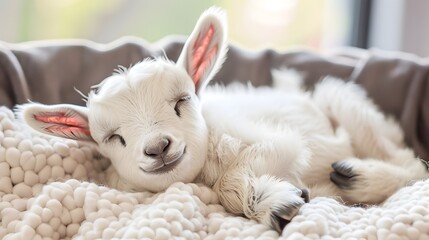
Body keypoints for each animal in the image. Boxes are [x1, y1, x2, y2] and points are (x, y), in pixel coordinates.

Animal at [20, 7, 428, 232]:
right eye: (112, 138)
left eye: (182, 102)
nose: (158, 147)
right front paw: (280, 202)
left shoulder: (273, 143)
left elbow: (232, 179)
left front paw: (278, 203)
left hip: (344, 102)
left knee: (412, 165)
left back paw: (358, 178)